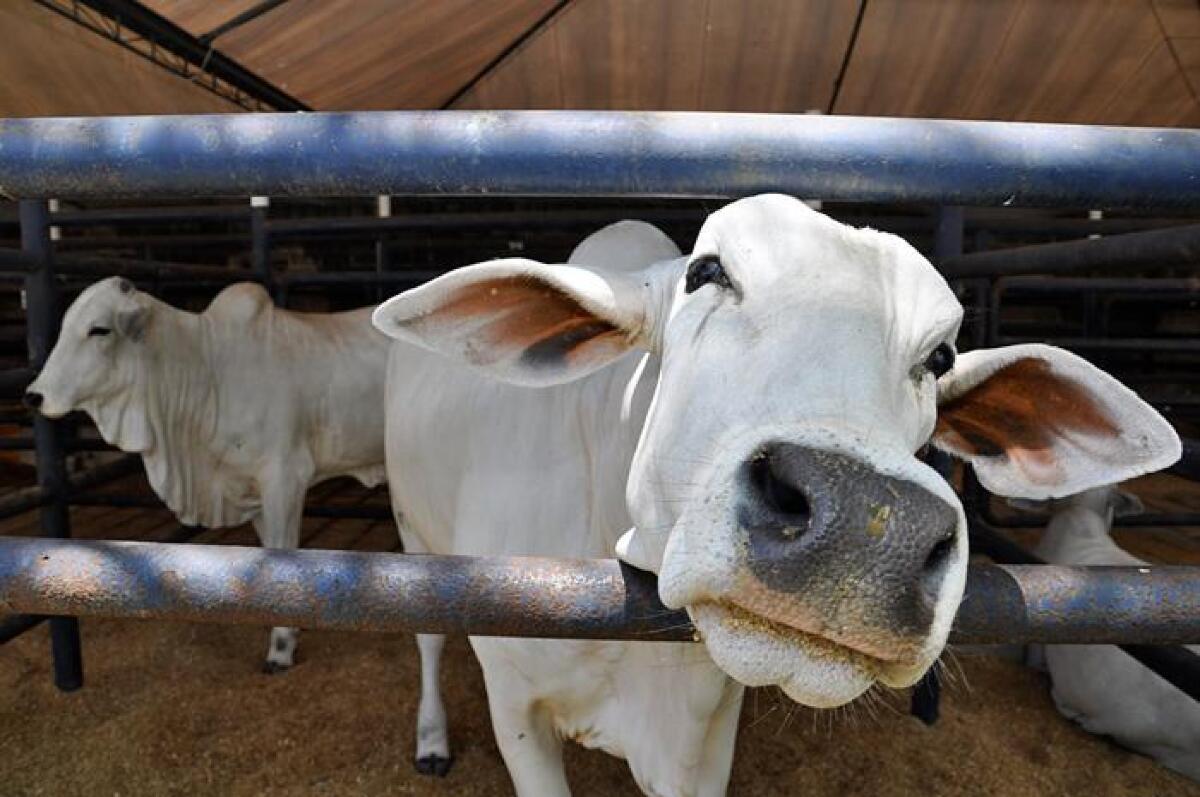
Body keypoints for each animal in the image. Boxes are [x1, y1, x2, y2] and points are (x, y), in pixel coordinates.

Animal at [25, 278, 388, 672]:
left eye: (99, 329)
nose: (34, 396)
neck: (209, 370)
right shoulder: (252, 491)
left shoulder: (285, 476)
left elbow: (283, 555)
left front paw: (280, 648)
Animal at [376, 194, 1180, 797]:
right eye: (707, 272)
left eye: (941, 355)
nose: (864, 530)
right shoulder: (517, 704)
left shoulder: (709, 736)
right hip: (412, 535)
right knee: (425, 640)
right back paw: (430, 738)